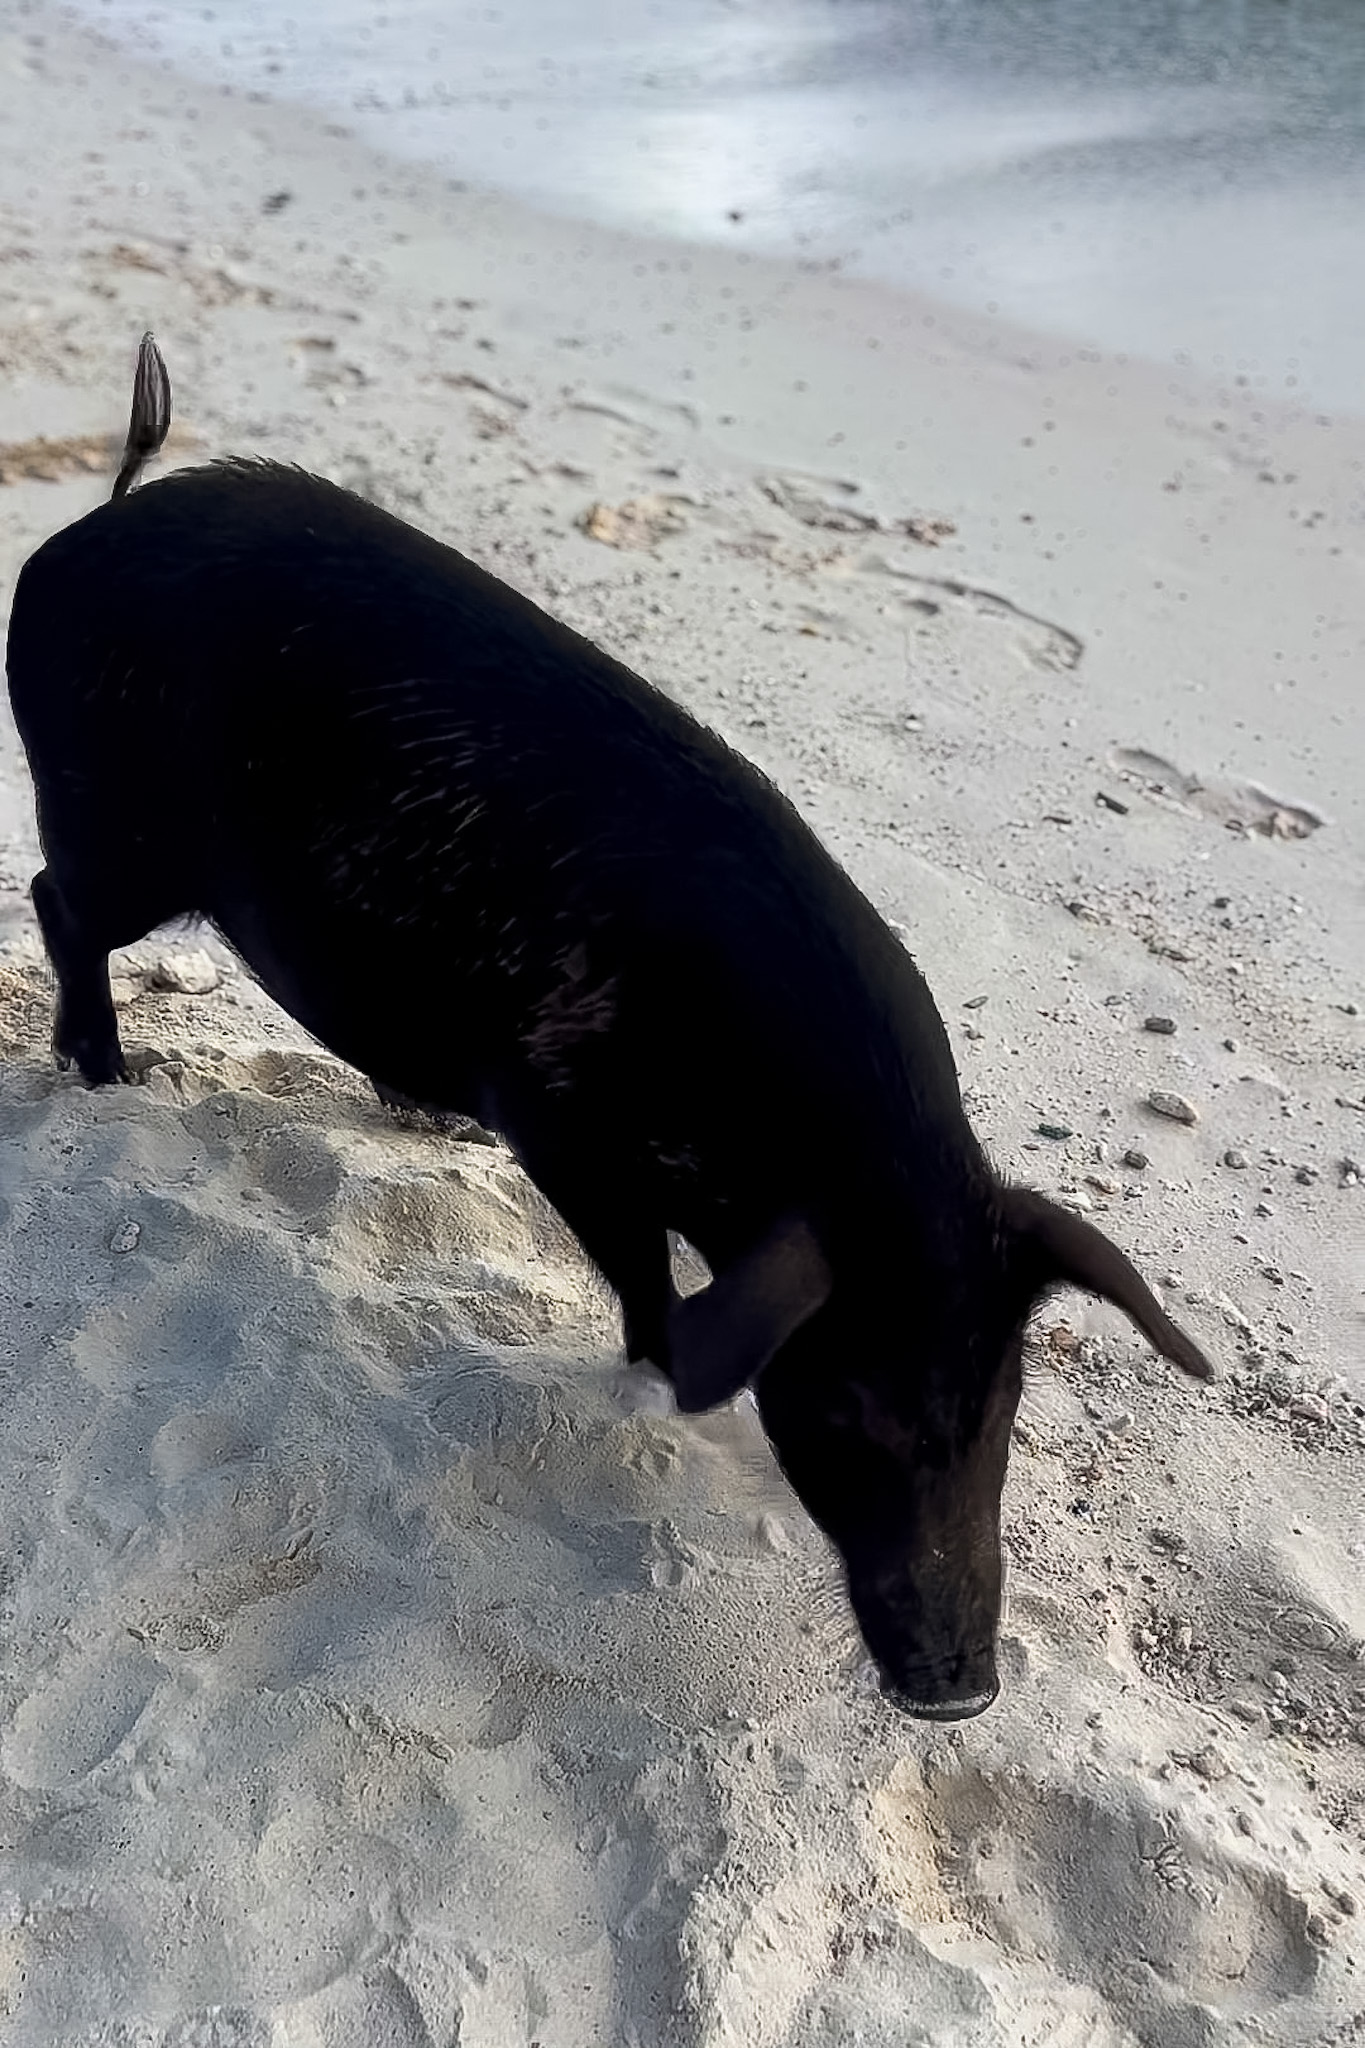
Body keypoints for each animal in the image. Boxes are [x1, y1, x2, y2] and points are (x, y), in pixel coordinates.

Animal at [5, 337, 1212, 1718]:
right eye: (846, 1410)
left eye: (1001, 1407)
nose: (958, 1691)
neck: (801, 1137)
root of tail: (93, 524)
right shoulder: (560, 1116)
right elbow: (639, 1270)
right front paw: (656, 1369)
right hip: (123, 827)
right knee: (55, 900)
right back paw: (107, 1075)